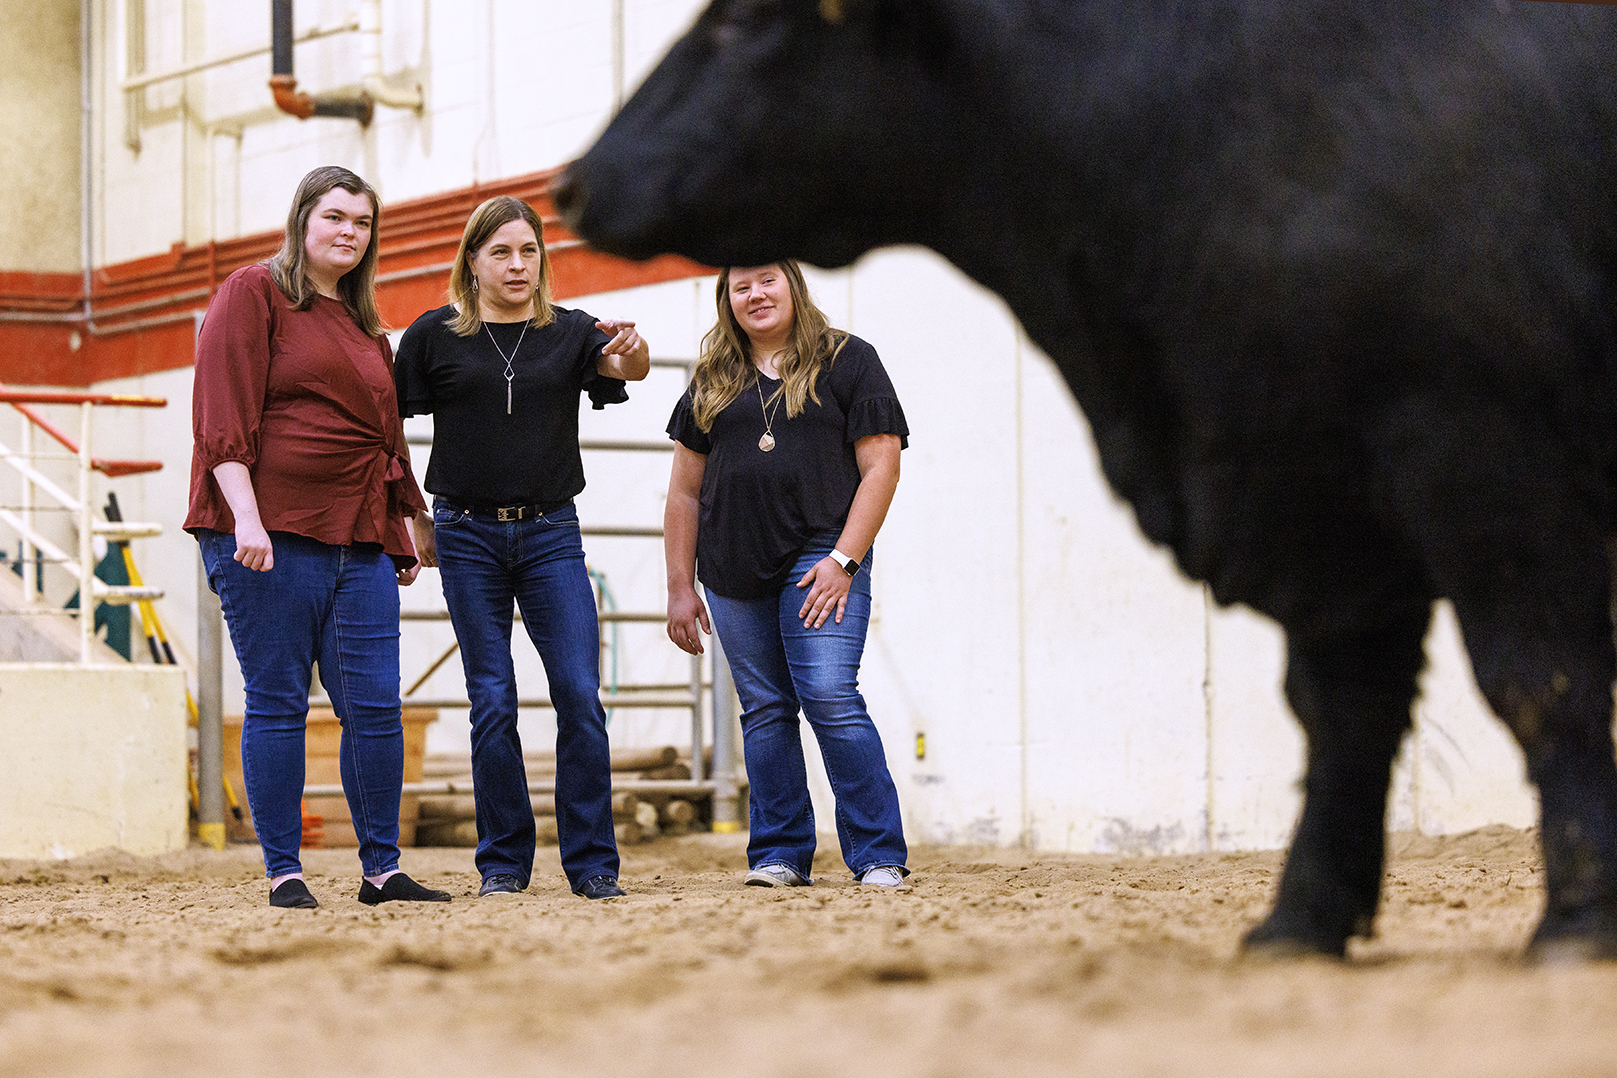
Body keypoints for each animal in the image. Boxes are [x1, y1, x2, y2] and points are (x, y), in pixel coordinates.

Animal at [553, 0, 1617, 963]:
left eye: (742, 22)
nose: (575, 182)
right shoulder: (1316, 494)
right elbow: (1342, 708)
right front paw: (1299, 923)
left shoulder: (1479, 457)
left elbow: (1540, 682)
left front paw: (1574, 923)